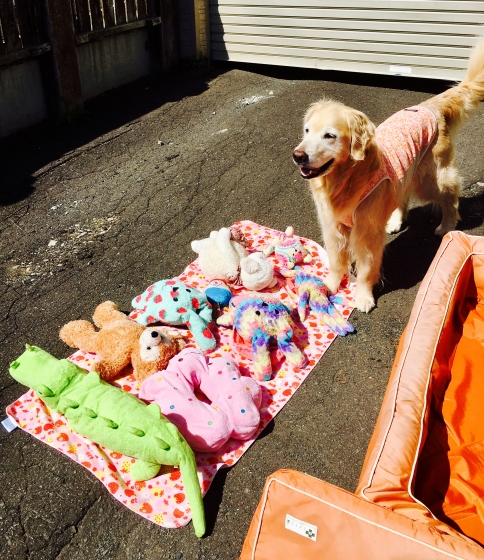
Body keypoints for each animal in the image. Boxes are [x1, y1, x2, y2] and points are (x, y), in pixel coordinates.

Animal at [293, 37, 484, 313]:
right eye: (307, 131)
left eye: (329, 135)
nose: (298, 155)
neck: (346, 178)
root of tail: (429, 106)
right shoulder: (333, 226)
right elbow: (337, 260)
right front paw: (329, 285)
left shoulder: (366, 233)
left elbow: (365, 269)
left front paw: (363, 296)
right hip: (405, 176)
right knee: (401, 196)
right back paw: (395, 221)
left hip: (432, 179)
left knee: (451, 199)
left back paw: (447, 225)